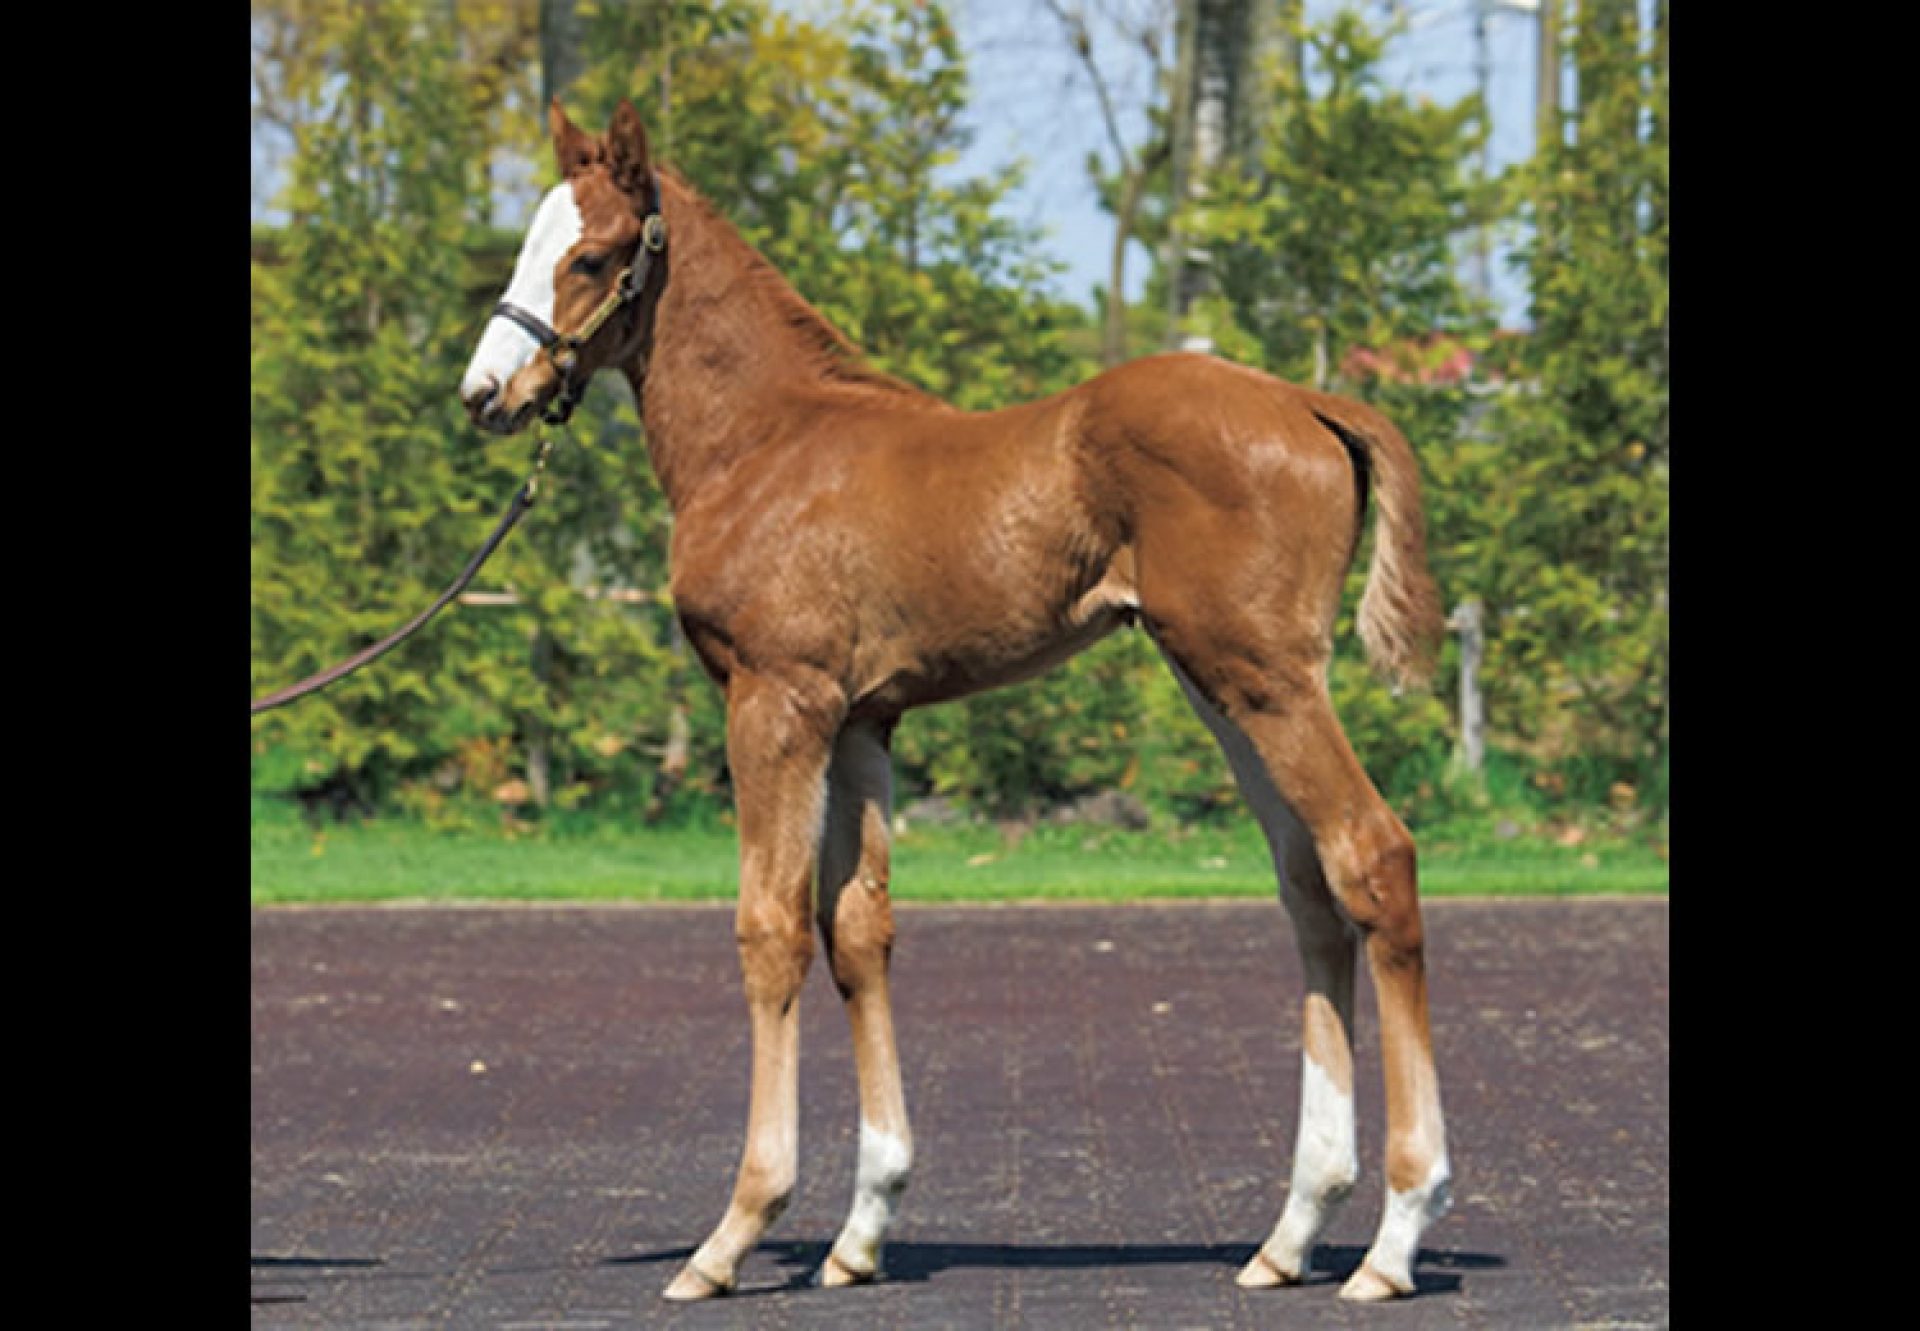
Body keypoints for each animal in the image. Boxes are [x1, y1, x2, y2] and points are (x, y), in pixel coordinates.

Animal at [460, 97, 1452, 1305]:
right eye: (528, 245)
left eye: (594, 255)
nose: (485, 395)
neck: (765, 441)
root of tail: (1312, 400)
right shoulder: (859, 720)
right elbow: (857, 927)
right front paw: (862, 1227)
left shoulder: (775, 702)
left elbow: (770, 929)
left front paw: (733, 1231)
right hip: (1226, 686)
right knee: (1311, 889)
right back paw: (1293, 1232)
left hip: (1266, 678)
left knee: (1373, 856)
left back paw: (1396, 1236)